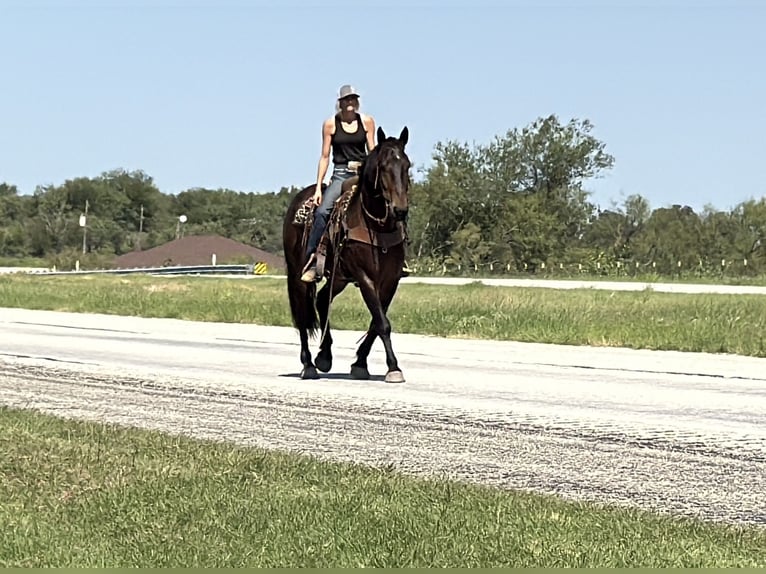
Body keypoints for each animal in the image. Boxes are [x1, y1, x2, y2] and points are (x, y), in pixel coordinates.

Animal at [282, 126, 411, 383]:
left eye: (407, 166)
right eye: (384, 166)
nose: (400, 209)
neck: (377, 225)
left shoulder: (391, 280)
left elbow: (376, 322)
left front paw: (360, 363)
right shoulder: (365, 277)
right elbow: (382, 322)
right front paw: (393, 368)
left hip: (338, 277)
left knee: (322, 300)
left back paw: (324, 357)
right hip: (298, 275)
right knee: (302, 315)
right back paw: (308, 365)